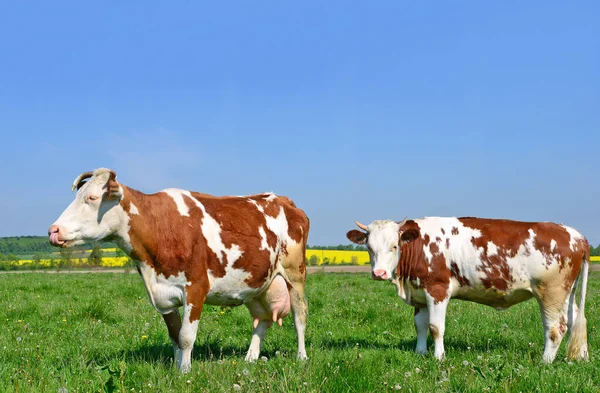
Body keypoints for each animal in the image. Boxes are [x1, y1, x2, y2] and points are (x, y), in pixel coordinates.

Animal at [48, 167, 310, 372]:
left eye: (92, 198)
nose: (53, 230)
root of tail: (284, 200)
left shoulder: (196, 288)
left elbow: (185, 336)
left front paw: (185, 373)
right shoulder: (161, 293)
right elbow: (174, 334)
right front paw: (176, 370)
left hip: (295, 273)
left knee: (299, 315)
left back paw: (301, 357)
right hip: (256, 283)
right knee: (263, 319)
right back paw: (250, 358)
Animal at [346, 216, 592, 362]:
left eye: (394, 246)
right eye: (369, 247)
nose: (379, 273)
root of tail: (576, 235)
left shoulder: (437, 289)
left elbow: (436, 327)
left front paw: (438, 357)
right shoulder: (420, 293)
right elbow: (420, 326)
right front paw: (420, 352)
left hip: (551, 292)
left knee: (556, 328)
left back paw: (545, 362)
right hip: (567, 293)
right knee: (577, 320)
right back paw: (582, 358)